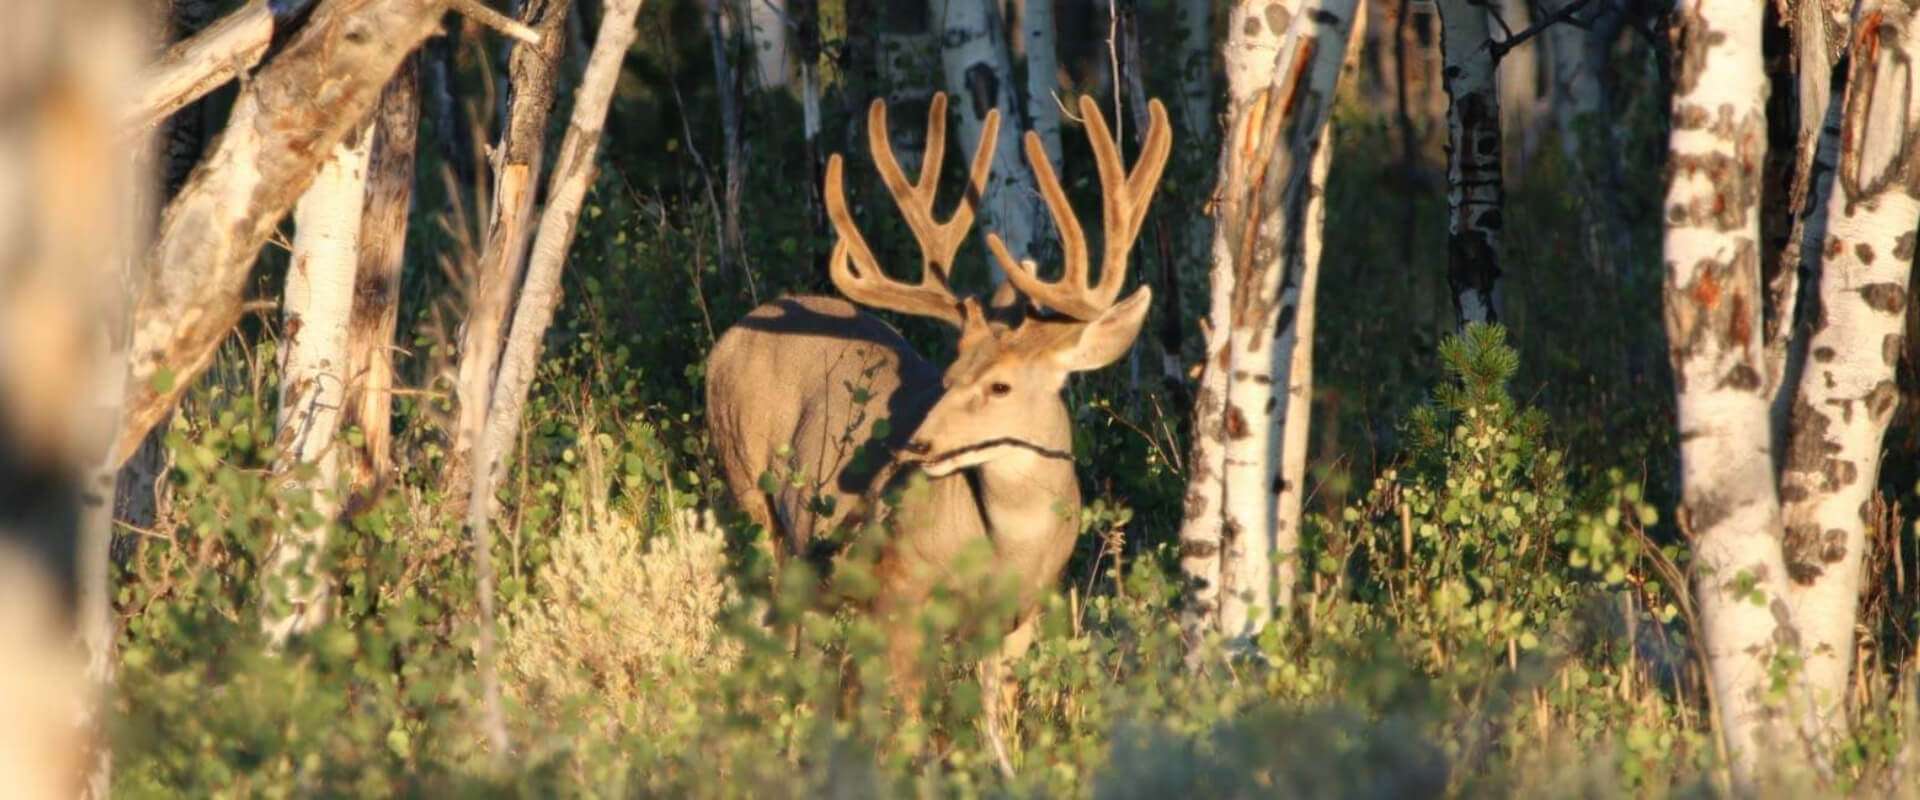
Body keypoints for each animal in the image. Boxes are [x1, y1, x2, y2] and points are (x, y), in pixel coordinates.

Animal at [704, 91, 1170, 717]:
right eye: (950, 375)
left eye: (999, 386)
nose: (915, 444)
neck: (1007, 549)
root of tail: (728, 338)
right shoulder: (899, 591)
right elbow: (905, 710)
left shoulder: (1020, 616)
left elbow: (998, 711)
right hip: (748, 485)